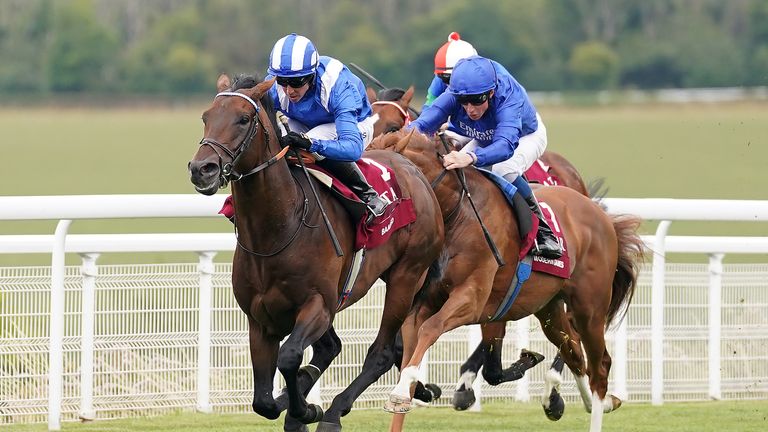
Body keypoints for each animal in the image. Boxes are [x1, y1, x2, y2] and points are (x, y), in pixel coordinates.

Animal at [188, 75, 448, 432]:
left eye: (243, 118)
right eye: (206, 116)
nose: (203, 168)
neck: (278, 230)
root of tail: (413, 168)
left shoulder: (318, 306)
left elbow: (289, 357)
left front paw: (306, 410)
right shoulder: (260, 319)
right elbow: (263, 401)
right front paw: (296, 405)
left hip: (406, 276)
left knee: (381, 351)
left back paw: (334, 412)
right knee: (334, 348)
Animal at [368, 131, 644, 432]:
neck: (458, 216)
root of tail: (600, 215)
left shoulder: (472, 299)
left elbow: (431, 328)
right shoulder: (432, 302)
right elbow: (414, 346)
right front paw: (403, 395)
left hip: (589, 307)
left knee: (599, 366)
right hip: (549, 308)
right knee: (573, 351)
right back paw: (581, 402)